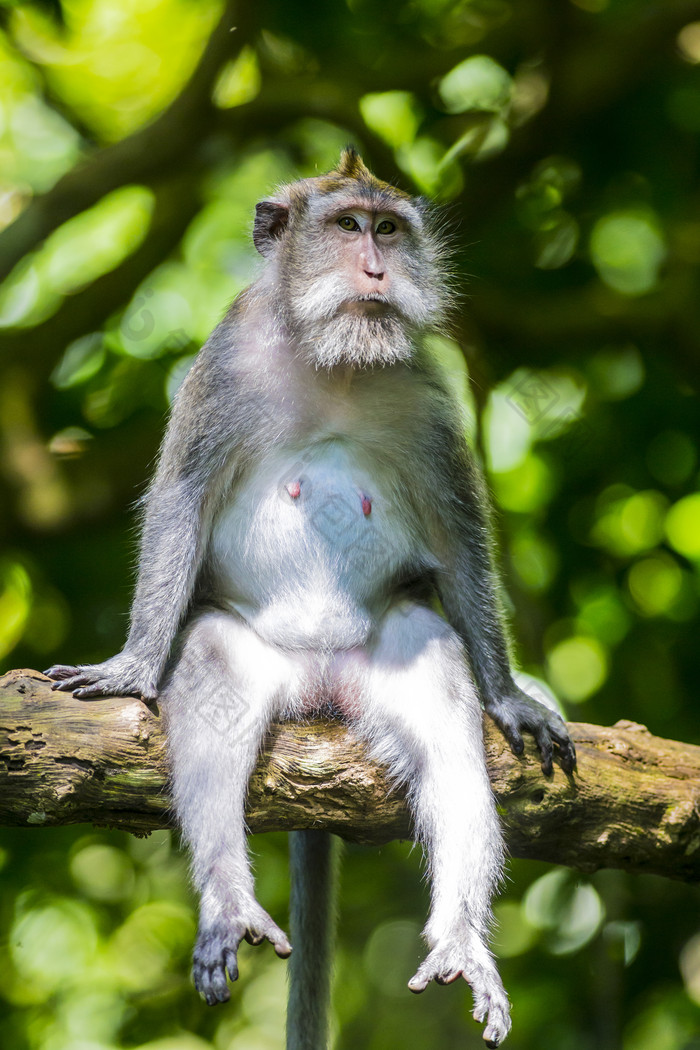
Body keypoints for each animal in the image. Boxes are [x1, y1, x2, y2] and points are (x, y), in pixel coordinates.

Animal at [48, 150, 575, 1050]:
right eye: (346, 225)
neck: (337, 361)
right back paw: (228, 903)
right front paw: (134, 664)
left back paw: (461, 936)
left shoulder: (423, 392)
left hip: (380, 660)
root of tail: (323, 686)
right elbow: (181, 500)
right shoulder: (223, 366)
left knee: (439, 691)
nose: (376, 268)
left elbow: (459, 533)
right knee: (215, 674)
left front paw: (509, 696)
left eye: (389, 229)